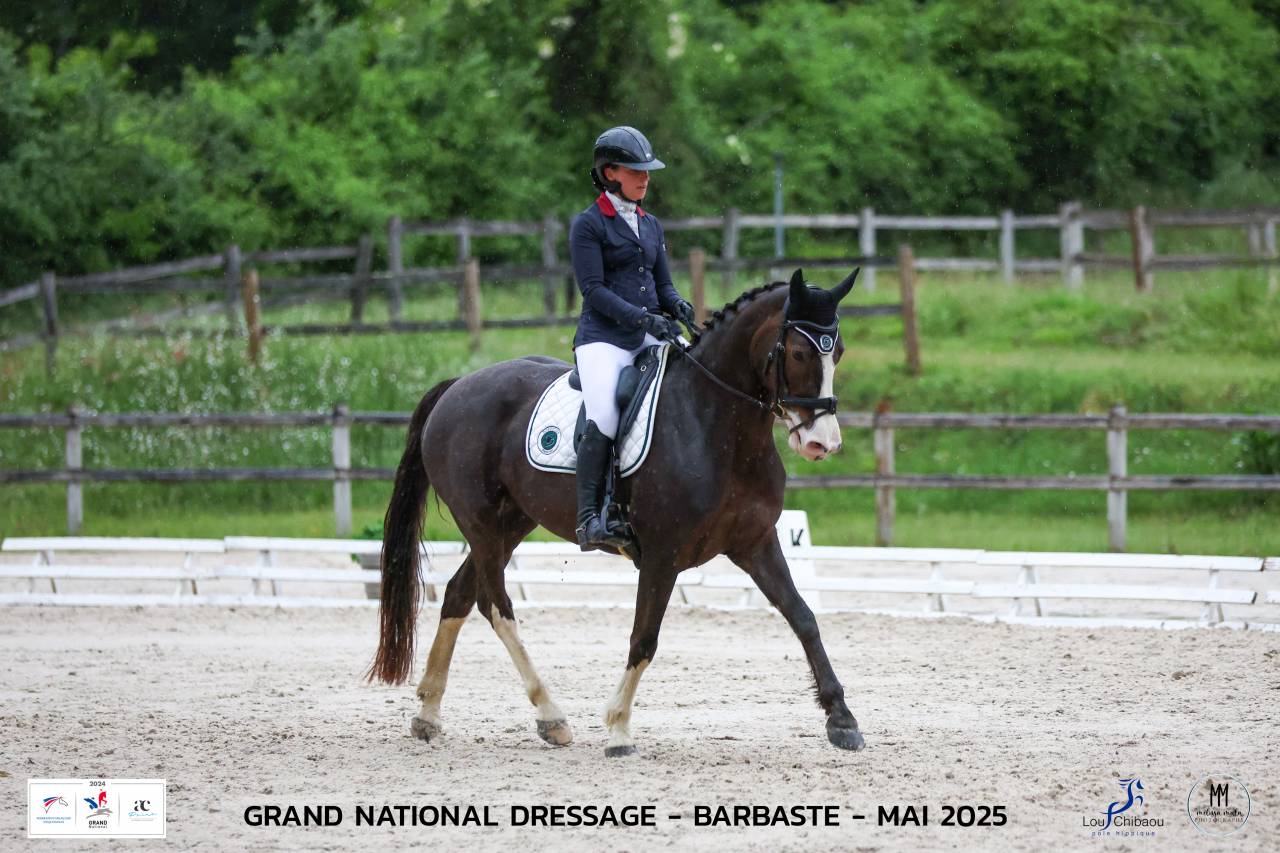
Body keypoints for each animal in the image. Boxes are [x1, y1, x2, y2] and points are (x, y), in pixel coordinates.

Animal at [367, 268, 866, 756]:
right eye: (798, 352)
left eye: (838, 352)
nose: (822, 443)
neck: (717, 424)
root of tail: (457, 386)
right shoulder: (663, 555)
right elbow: (644, 637)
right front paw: (619, 729)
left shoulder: (755, 542)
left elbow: (803, 617)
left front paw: (842, 719)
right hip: (483, 524)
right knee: (497, 607)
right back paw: (551, 717)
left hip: (510, 525)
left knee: (458, 594)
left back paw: (429, 714)